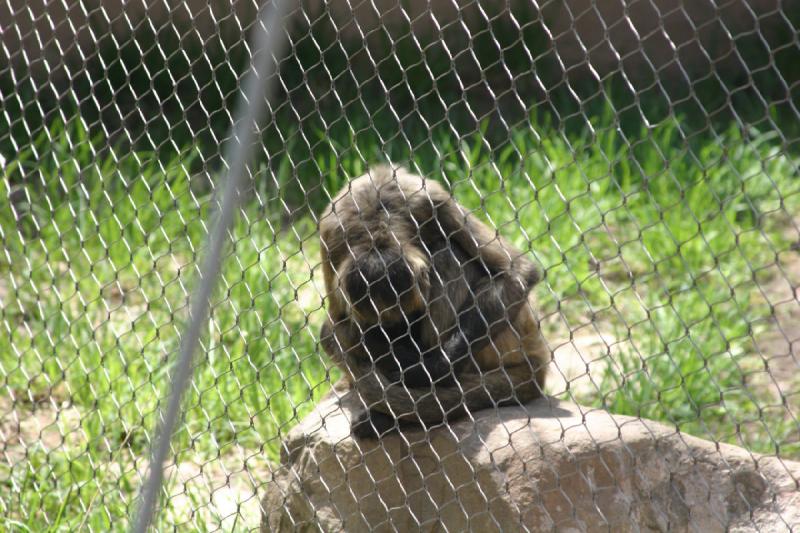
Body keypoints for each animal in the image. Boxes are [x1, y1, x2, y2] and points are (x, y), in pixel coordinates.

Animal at [318, 165, 552, 436]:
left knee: (447, 253)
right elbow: (335, 327)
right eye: (384, 326)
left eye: (409, 318)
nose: (400, 338)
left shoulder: (430, 200)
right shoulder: (331, 231)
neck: (375, 217)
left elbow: (518, 272)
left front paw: (428, 370)